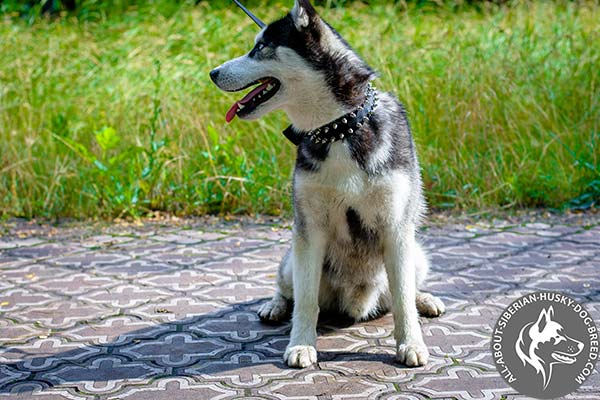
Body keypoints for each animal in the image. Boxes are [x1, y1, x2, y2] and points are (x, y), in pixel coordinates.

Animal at [209, 0, 442, 368]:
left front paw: (411, 342)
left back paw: (425, 298)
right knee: (288, 289)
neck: (339, 129)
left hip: (416, 253)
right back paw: (275, 305)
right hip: (292, 258)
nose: (213, 72)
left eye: (261, 48)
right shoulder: (309, 231)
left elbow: (403, 300)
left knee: (405, 289)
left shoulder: (397, 230)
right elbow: (306, 301)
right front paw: (301, 344)